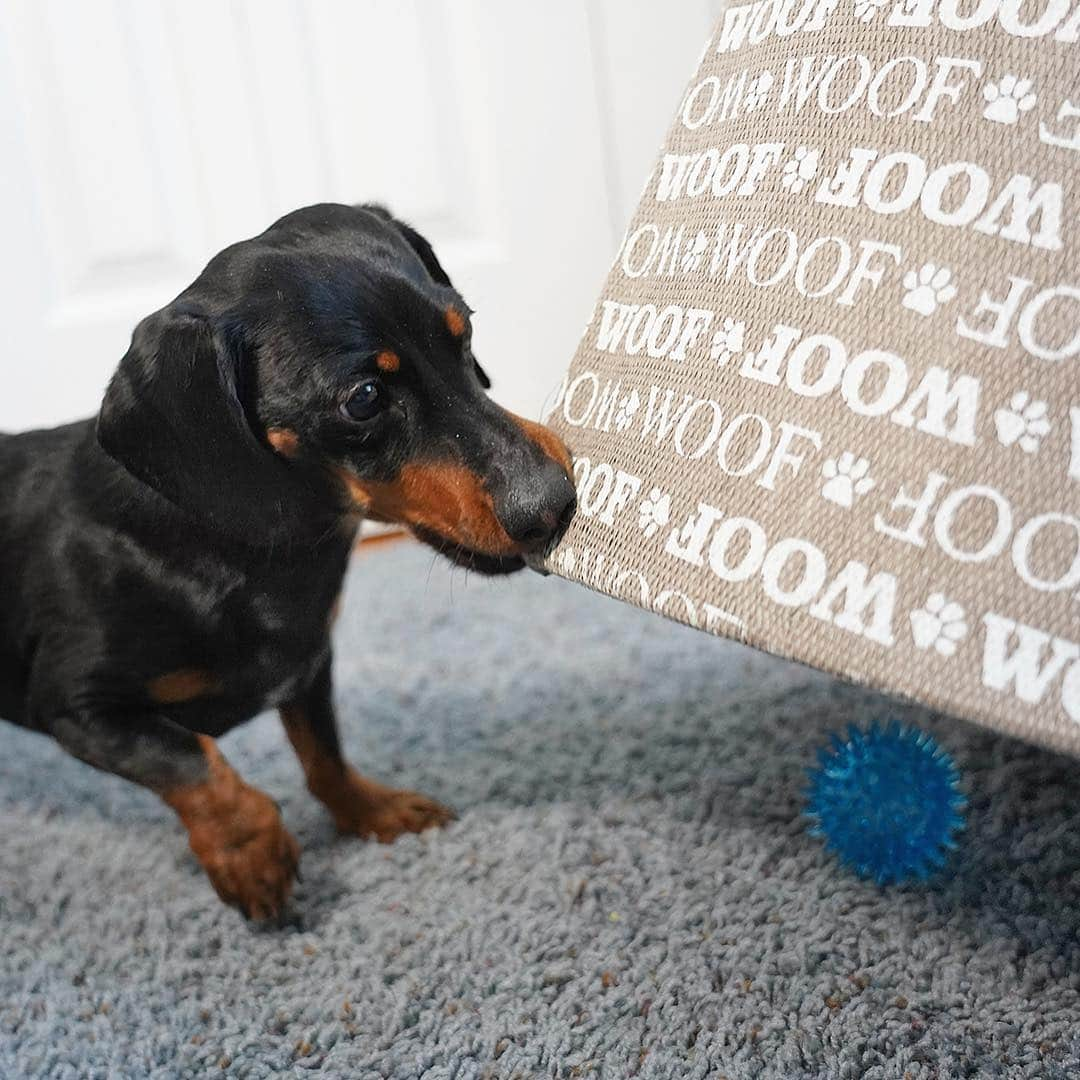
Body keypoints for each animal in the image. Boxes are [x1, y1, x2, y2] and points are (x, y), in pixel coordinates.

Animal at [0, 204, 578, 920]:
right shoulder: (77, 705)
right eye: (363, 398)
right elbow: (190, 760)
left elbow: (324, 755)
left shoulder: (308, 663)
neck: (244, 556)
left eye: (463, 328)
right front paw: (250, 853)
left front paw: (373, 812)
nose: (556, 504)